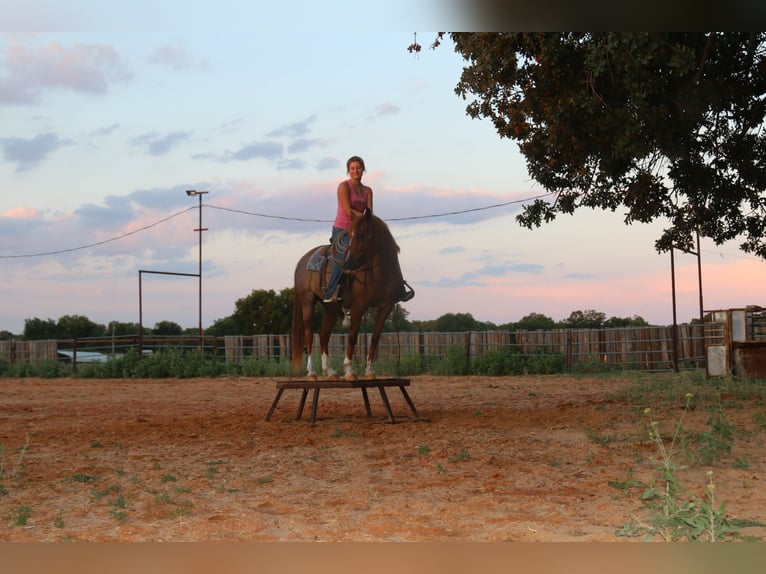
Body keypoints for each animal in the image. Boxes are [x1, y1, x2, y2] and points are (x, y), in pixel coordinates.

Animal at [291, 209, 411, 380]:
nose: (347, 264)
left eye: (361, 235)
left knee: (323, 333)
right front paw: (349, 370)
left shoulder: (386, 306)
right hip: (307, 301)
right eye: (351, 236)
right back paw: (312, 372)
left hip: (331, 307)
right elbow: (353, 336)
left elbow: (375, 337)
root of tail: (302, 261)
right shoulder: (358, 306)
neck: (378, 273)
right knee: (309, 333)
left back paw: (330, 371)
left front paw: (369, 371)